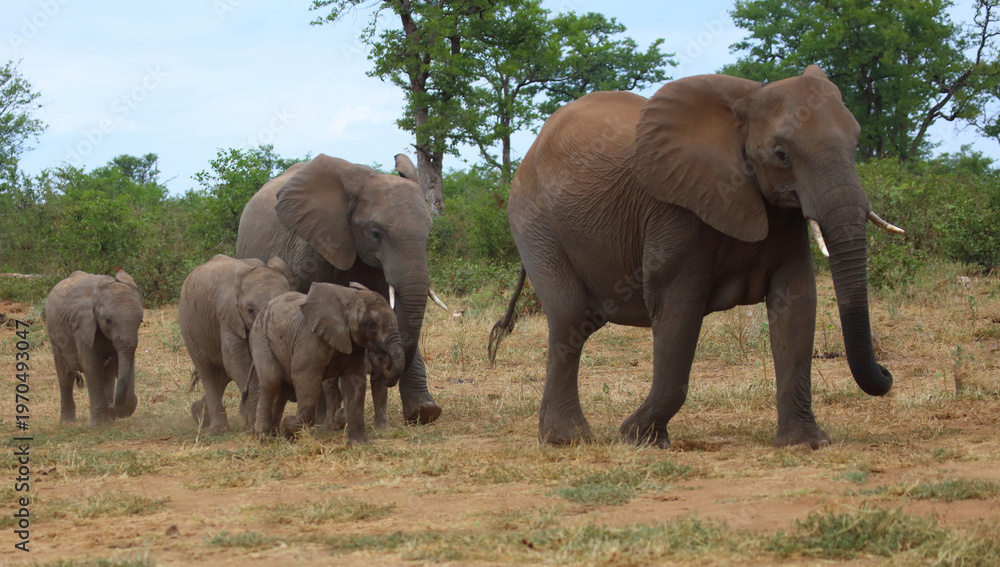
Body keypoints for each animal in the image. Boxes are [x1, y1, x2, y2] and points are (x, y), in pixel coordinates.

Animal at [45, 270, 144, 426]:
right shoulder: (81, 325)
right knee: (66, 376)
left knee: (107, 374)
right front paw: (99, 425)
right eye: (108, 321)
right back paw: (67, 422)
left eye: (140, 321)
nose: (114, 409)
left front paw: (114, 414)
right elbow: (91, 366)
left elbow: (123, 364)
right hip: (55, 338)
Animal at [178, 254, 294, 434]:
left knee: (223, 374)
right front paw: (253, 424)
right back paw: (218, 429)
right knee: (208, 373)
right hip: (189, 328)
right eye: (250, 311)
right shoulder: (227, 316)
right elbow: (237, 362)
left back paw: (198, 415)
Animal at [236, 153, 441, 425]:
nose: (383, 365)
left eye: (428, 233)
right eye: (375, 233)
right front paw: (323, 418)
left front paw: (426, 412)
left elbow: (392, 310)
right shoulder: (312, 245)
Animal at [249, 282, 405, 445]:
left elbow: (354, 383)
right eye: (372, 326)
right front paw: (288, 424)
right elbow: (306, 379)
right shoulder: (310, 339)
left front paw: (360, 443)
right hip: (260, 339)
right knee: (272, 381)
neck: (348, 299)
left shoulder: (353, 344)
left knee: (285, 387)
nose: (383, 359)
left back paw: (276, 435)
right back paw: (263, 437)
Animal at [492, 66, 900, 449]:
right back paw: (567, 439)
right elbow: (678, 309)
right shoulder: (676, 211)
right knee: (570, 317)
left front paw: (806, 443)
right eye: (781, 154)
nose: (886, 372)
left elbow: (796, 304)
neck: (745, 104)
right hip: (533, 222)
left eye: (856, 142)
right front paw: (638, 437)